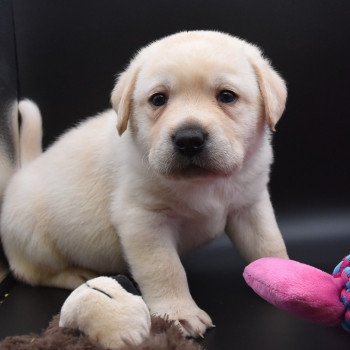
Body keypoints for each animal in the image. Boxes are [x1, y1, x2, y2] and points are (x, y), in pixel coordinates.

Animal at [1, 31, 288, 338]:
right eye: (158, 99)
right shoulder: (144, 220)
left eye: (226, 96)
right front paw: (179, 313)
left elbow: (269, 245)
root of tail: (24, 171)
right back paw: (74, 273)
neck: (204, 183)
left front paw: (285, 277)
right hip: (34, 238)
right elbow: (165, 268)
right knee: (30, 272)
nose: (189, 139)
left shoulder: (250, 205)